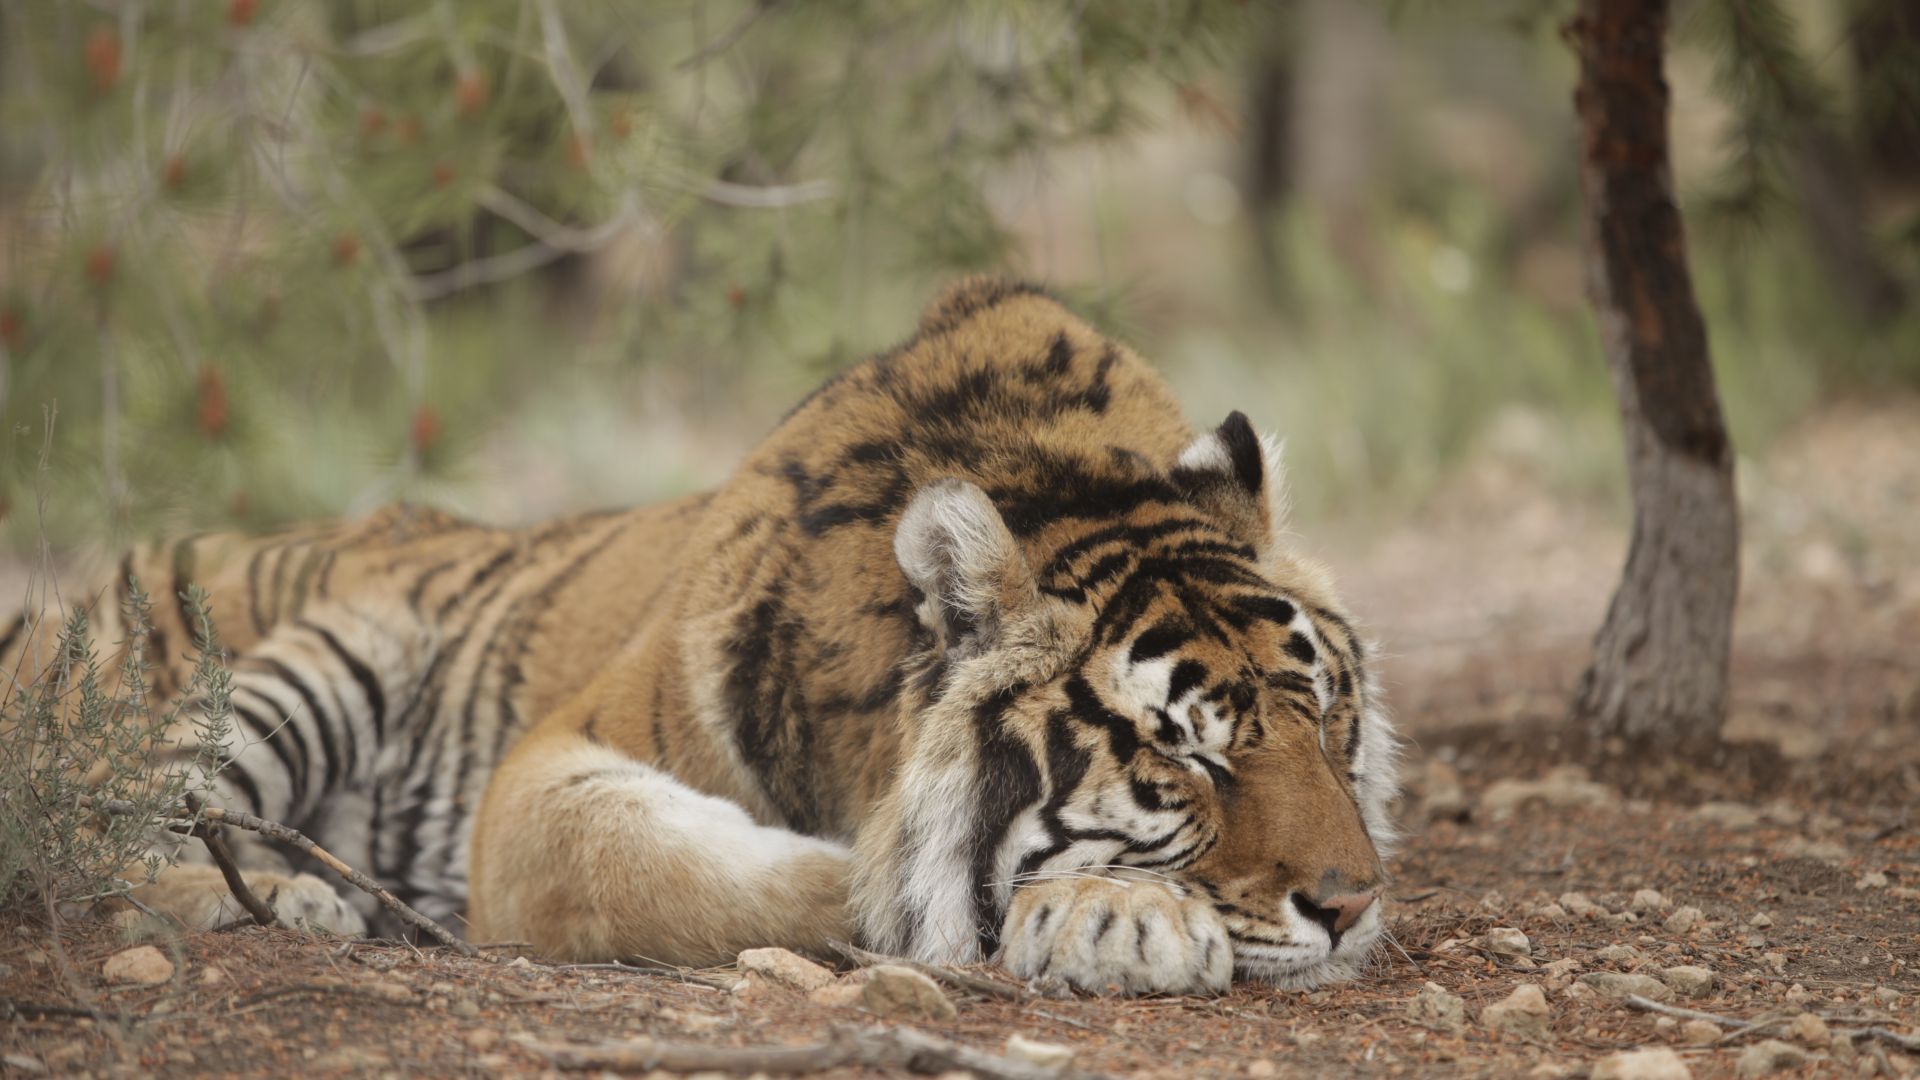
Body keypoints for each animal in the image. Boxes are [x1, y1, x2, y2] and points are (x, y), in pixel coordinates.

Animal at [7, 278, 1405, 991]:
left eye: (1329, 718)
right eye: (1183, 758)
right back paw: (295, 899)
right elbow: (733, 874)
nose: (1353, 906)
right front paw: (1115, 913)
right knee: (113, 838)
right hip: (292, 665)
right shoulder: (553, 764)